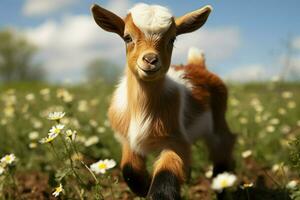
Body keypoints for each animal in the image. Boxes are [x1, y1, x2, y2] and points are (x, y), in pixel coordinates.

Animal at [90, 3, 236, 200]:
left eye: (172, 39)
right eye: (127, 37)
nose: (150, 59)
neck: (142, 109)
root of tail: (197, 65)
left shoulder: (176, 140)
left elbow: (166, 177)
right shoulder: (128, 140)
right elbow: (129, 169)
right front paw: (144, 187)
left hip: (218, 121)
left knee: (223, 149)